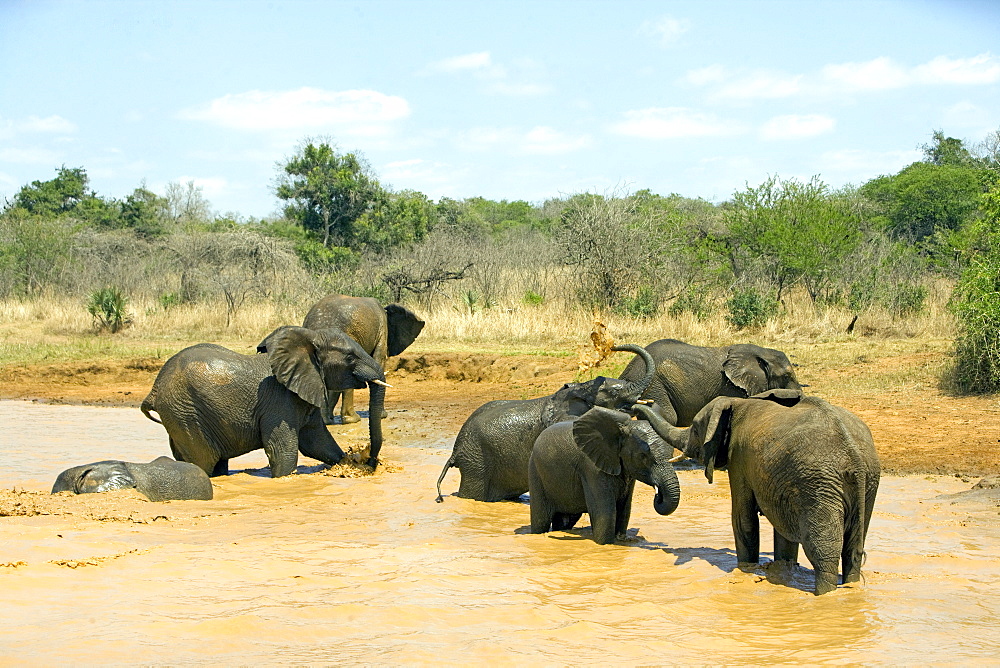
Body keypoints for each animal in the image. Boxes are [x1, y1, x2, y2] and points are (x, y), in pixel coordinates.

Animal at [142, 324, 390, 474]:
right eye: (350, 358)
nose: (371, 463)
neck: (307, 339)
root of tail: (154, 389)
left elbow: (318, 443)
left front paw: (348, 463)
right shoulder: (278, 400)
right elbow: (284, 452)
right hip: (185, 412)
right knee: (203, 462)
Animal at [636, 386, 880, 596]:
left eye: (695, 429)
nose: (639, 403)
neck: (736, 403)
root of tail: (855, 459)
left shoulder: (739, 456)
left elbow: (743, 519)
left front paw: (746, 569)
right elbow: (782, 529)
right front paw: (782, 570)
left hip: (820, 486)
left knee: (823, 551)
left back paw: (824, 595)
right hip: (867, 484)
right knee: (852, 549)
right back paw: (849, 589)